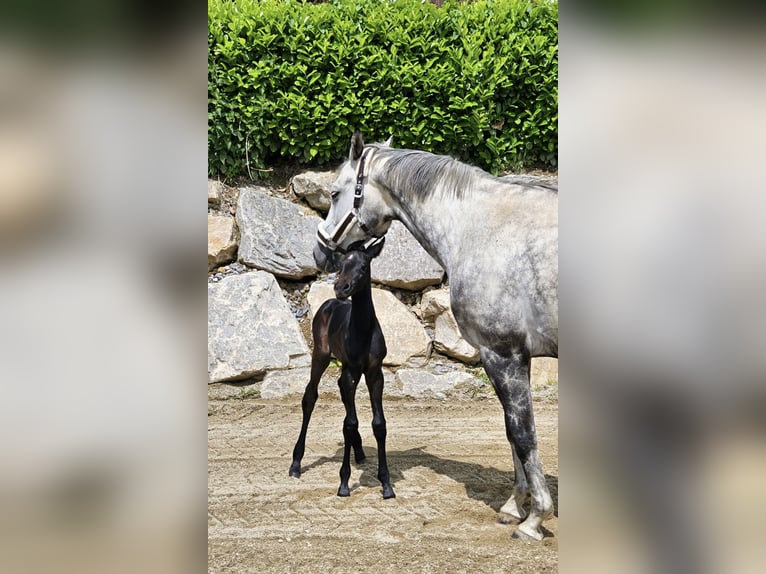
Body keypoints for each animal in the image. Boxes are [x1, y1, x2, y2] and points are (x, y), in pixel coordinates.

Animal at [312, 133, 560, 544]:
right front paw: (515, 506)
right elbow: (513, 432)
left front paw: (535, 518)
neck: (480, 230)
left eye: (334, 193)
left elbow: (522, 434)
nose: (319, 251)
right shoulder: (514, 358)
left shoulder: (502, 354)